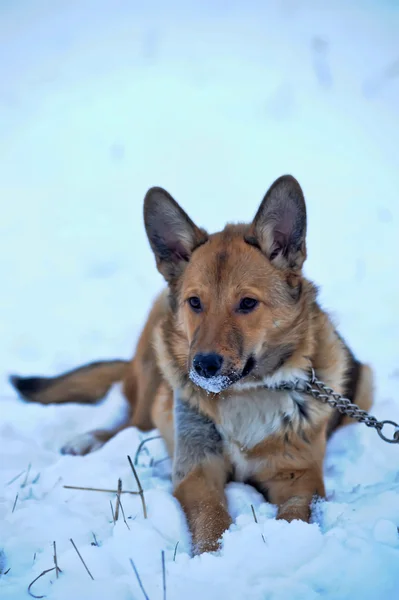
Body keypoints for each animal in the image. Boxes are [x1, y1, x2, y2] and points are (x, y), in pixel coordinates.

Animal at [11, 176, 376, 556]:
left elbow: (294, 516)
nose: (203, 366)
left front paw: (283, 545)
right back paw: (88, 440)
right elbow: (211, 516)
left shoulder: (299, 476)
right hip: (154, 354)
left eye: (248, 303)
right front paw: (213, 557)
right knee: (131, 424)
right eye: (195, 302)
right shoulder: (197, 470)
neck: (246, 393)